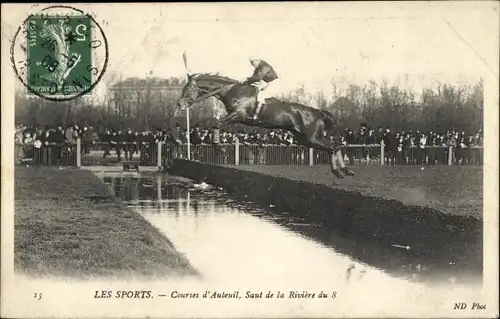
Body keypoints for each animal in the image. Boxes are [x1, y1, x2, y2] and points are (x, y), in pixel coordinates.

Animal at [178, 72, 354, 179]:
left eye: (188, 89)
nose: (180, 104)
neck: (232, 91)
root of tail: (317, 111)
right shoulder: (236, 117)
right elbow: (216, 124)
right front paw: (219, 147)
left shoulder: (238, 115)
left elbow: (216, 124)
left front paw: (220, 148)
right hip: (305, 140)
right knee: (335, 146)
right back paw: (344, 171)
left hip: (312, 137)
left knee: (334, 146)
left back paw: (340, 171)